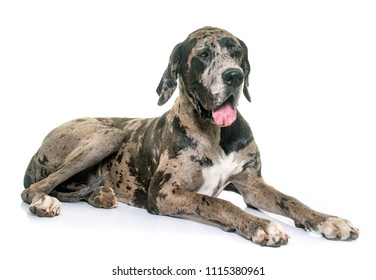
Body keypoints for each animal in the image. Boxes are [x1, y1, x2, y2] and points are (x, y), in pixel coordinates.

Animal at [21, 25, 358, 245]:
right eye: (204, 54)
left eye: (237, 52)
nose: (235, 76)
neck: (216, 134)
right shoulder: (165, 193)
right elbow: (218, 204)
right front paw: (259, 225)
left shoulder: (252, 185)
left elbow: (290, 200)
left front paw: (327, 219)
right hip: (107, 135)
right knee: (34, 189)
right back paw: (45, 202)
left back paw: (101, 195)